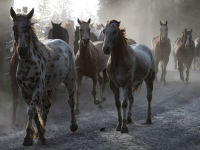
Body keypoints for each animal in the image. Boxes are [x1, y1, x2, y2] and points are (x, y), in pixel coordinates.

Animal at [10, 7, 77, 146]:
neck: (28, 63)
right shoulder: (25, 91)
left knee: (71, 101)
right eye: (14, 27)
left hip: (70, 80)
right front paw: (38, 133)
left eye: (27, 27)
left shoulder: (37, 88)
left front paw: (28, 137)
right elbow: (34, 111)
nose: (22, 51)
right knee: (46, 105)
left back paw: (73, 125)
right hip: (46, 88)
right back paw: (42, 132)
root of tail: (64, 43)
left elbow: (31, 110)